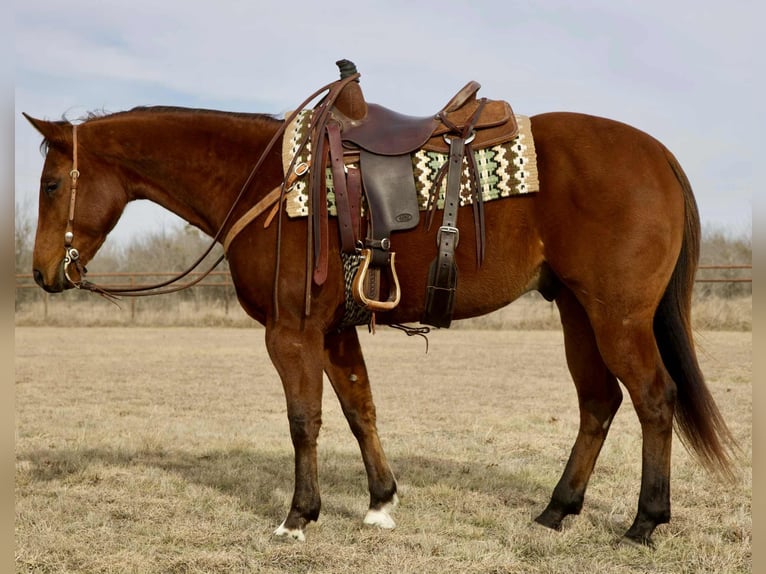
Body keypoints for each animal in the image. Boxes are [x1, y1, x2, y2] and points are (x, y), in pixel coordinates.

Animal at [24, 83, 737, 545]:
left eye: (53, 184)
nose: (43, 273)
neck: (267, 183)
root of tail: (657, 155)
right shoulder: (336, 332)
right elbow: (359, 409)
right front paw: (379, 502)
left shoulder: (291, 334)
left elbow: (304, 421)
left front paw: (299, 516)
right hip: (577, 314)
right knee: (599, 404)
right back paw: (557, 511)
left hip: (618, 318)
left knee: (654, 399)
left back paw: (644, 522)